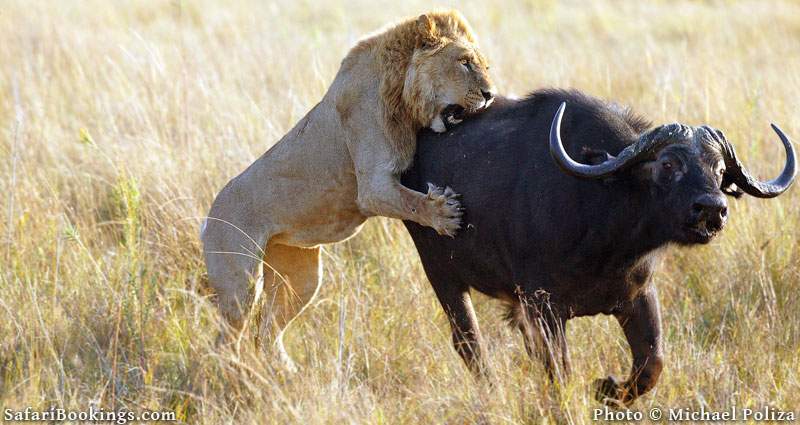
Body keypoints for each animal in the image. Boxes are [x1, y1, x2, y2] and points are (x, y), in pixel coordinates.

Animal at [201, 11, 495, 368]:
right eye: (464, 62)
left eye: (485, 66)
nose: (490, 94)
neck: (399, 88)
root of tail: (209, 217)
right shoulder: (372, 186)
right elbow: (410, 202)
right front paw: (444, 215)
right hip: (239, 284)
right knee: (226, 340)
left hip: (300, 277)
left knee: (267, 334)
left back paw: (289, 373)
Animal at [401, 89, 796, 405]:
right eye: (668, 164)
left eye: (719, 170)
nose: (712, 209)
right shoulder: (544, 306)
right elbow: (560, 371)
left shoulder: (638, 296)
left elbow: (653, 363)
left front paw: (607, 389)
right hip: (443, 275)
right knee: (470, 343)